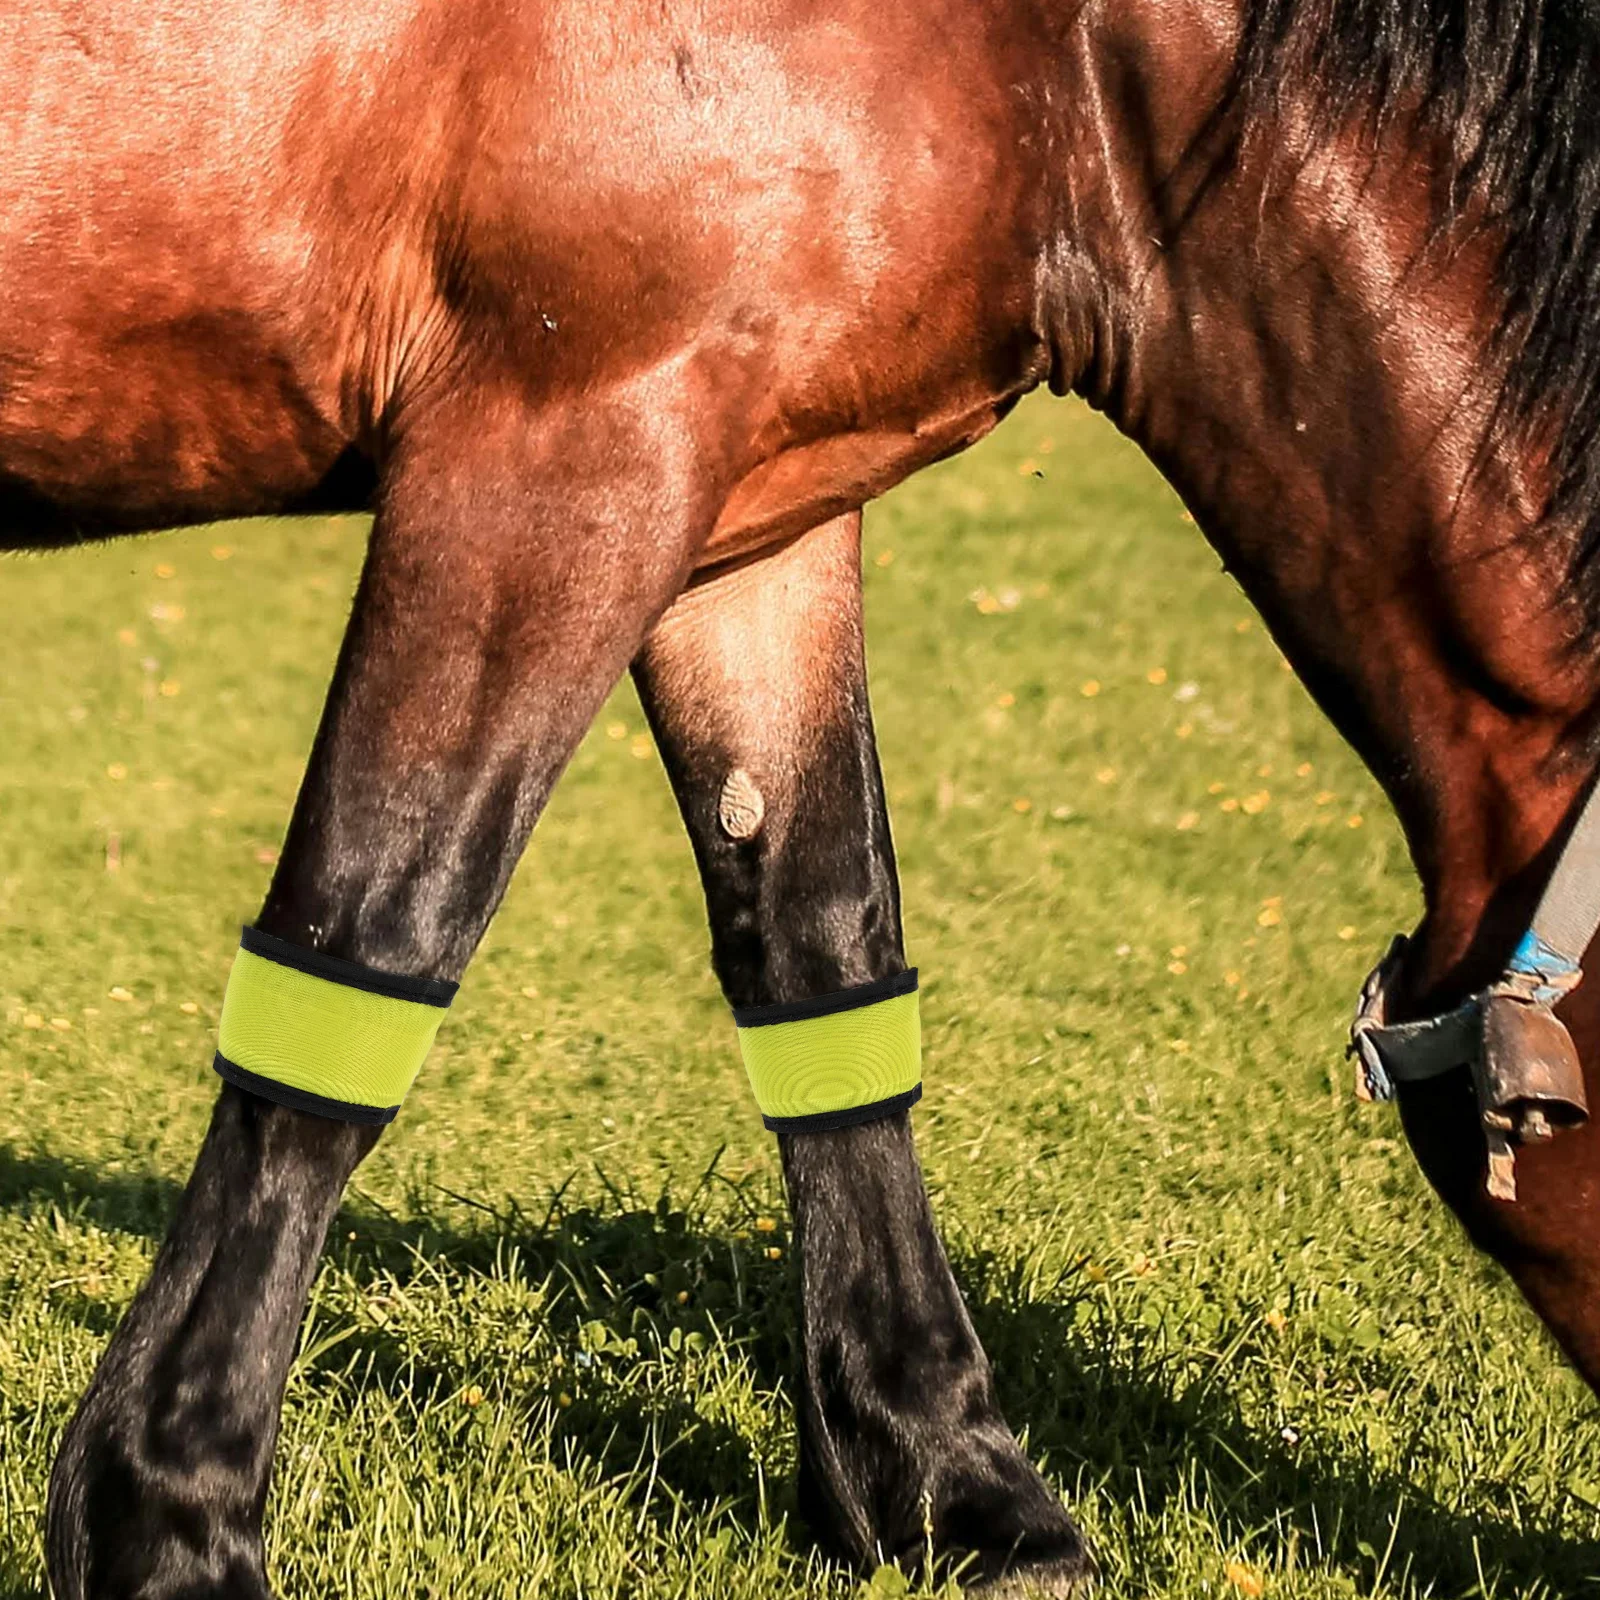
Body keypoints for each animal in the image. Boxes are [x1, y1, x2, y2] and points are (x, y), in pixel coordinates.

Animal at [11, 0, 1600, 1592]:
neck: (1066, 69)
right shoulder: (559, 450)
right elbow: (369, 946)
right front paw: (168, 1514)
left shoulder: (753, 508)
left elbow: (824, 954)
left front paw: (951, 1481)